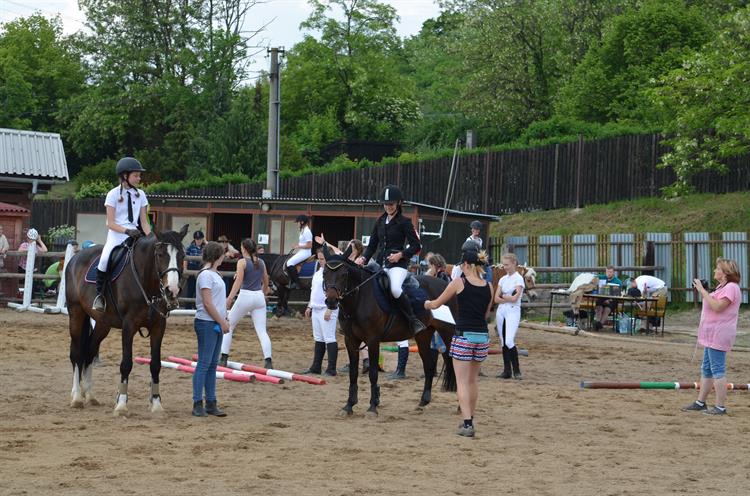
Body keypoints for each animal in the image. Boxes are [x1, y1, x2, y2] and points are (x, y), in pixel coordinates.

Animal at [66, 227, 188, 416]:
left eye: (182, 255)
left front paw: (156, 403)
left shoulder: (159, 327)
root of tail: (76, 258)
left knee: (90, 351)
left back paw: (90, 395)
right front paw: (122, 404)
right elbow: (126, 364)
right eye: (160, 254)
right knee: (77, 353)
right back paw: (77, 397)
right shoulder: (128, 326)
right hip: (76, 313)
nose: (172, 290)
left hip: (102, 324)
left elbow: (155, 364)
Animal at [324, 256, 458, 418]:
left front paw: (372, 407)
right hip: (423, 335)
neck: (359, 299)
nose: (331, 301)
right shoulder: (350, 340)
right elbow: (353, 372)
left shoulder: (373, 340)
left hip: (448, 333)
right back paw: (423, 401)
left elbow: (373, 373)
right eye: (324, 273)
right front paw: (349, 406)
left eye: (344, 274)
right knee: (429, 366)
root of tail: (447, 284)